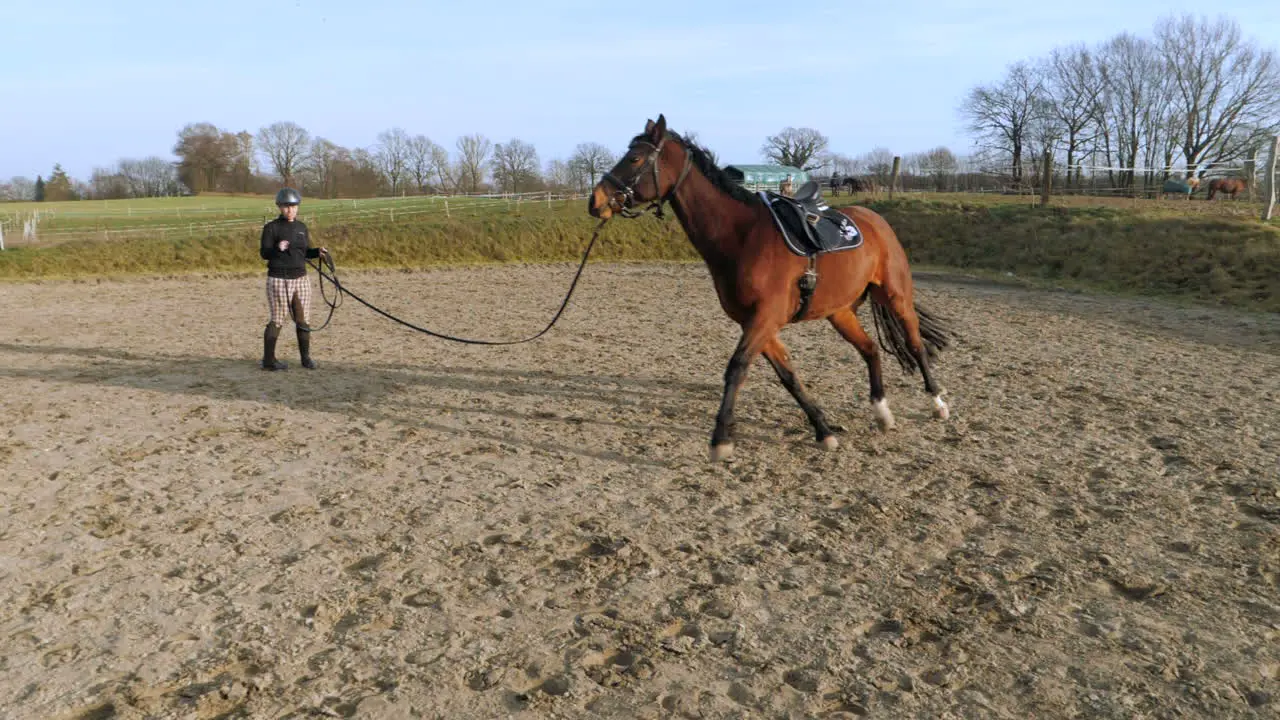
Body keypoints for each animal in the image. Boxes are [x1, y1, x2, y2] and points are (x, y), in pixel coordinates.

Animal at [586, 112, 952, 458]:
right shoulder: (755, 321)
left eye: (634, 158)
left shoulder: (766, 317)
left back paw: (937, 403)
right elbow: (787, 375)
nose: (596, 201)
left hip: (896, 296)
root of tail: (874, 219)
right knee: (870, 349)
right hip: (839, 312)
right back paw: (882, 412)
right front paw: (823, 430)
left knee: (915, 343)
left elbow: (736, 368)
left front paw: (720, 440)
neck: (743, 237)